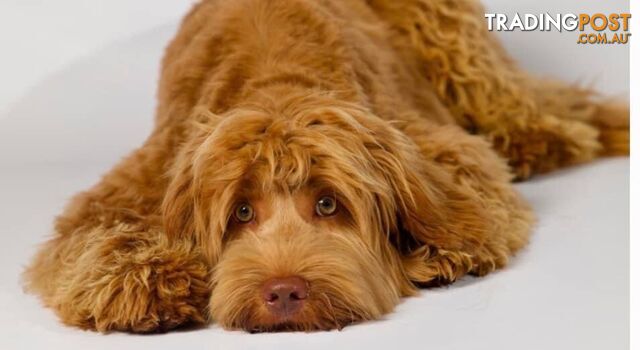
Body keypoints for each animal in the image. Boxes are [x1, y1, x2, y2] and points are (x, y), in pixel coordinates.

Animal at [23, 0, 624, 334]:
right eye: (242, 212)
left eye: (329, 204)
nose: (285, 293)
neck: (278, 83)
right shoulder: (143, 179)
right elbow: (93, 237)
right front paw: (144, 283)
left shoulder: (442, 149)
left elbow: (470, 208)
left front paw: (435, 253)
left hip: (461, 53)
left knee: (549, 111)